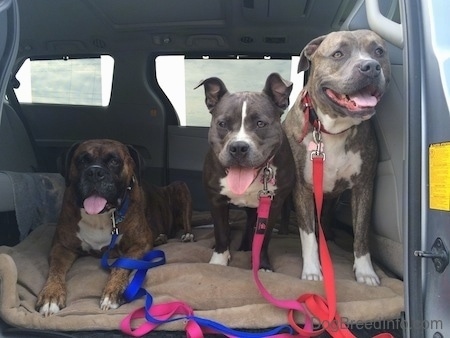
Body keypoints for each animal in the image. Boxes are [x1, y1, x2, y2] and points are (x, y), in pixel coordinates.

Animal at [35, 139, 193, 316]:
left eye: (114, 161)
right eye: (82, 160)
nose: (94, 172)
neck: (101, 216)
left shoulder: (139, 244)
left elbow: (122, 264)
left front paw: (112, 293)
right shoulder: (61, 247)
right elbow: (55, 270)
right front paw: (51, 295)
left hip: (180, 186)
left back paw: (186, 235)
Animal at [196, 72, 296, 270]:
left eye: (260, 123)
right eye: (222, 123)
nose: (238, 147)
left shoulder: (273, 204)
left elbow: (263, 239)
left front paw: (262, 265)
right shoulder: (216, 200)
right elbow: (221, 231)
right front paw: (219, 261)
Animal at [284, 29, 390, 286]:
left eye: (379, 51)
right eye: (338, 54)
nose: (370, 67)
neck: (331, 130)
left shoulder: (363, 187)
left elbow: (361, 232)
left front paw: (365, 272)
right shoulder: (302, 188)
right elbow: (308, 235)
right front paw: (312, 270)